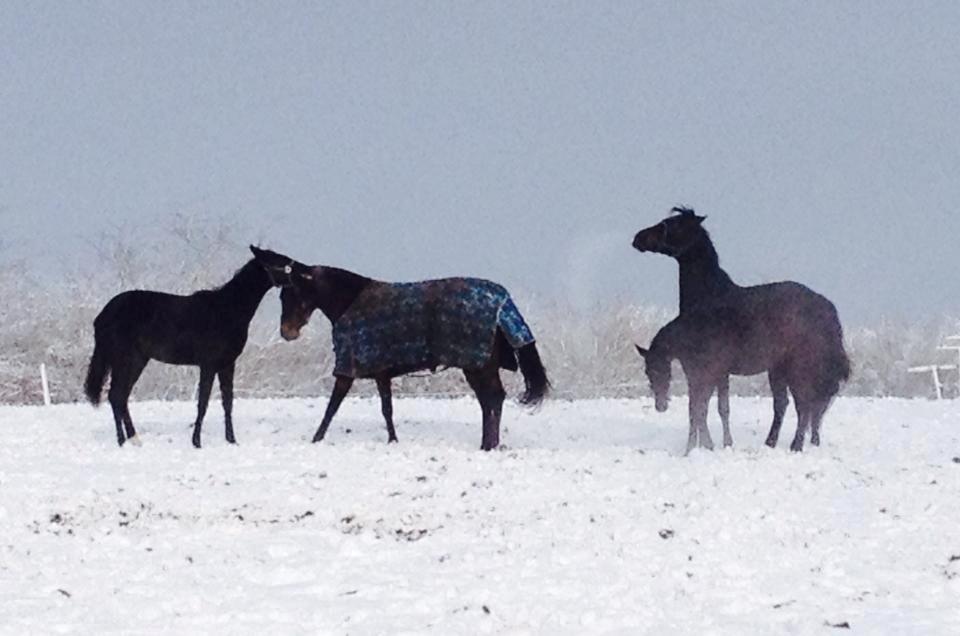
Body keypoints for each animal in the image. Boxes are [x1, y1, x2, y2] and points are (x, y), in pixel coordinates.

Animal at [84, 247, 276, 448]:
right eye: (279, 262)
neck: (227, 309)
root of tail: (103, 315)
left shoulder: (227, 364)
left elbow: (227, 402)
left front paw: (231, 441)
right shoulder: (209, 365)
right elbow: (203, 402)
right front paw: (197, 442)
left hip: (136, 361)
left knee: (120, 397)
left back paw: (134, 439)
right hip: (124, 361)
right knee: (116, 395)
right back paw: (123, 441)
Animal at [249, 246, 548, 450]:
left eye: (292, 293)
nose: (287, 332)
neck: (349, 302)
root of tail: (503, 302)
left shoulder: (347, 370)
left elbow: (332, 407)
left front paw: (316, 439)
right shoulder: (382, 373)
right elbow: (387, 409)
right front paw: (393, 440)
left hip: (477, 366)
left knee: (492, 399)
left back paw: (488, 445)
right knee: (491, 401)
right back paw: (488, 444)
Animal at [632, 206, 852, 450]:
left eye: (674, 224)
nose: (638, 238)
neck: (709, 298)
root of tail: (825, 306)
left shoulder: (708, 370)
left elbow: (703, 409)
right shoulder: (719, 372)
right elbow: (718, 408)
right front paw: (721, 444)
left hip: (798, 369)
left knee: (804, 405)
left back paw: (795, 446)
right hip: (779, 371)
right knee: (788, 405)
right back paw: (772, 443)